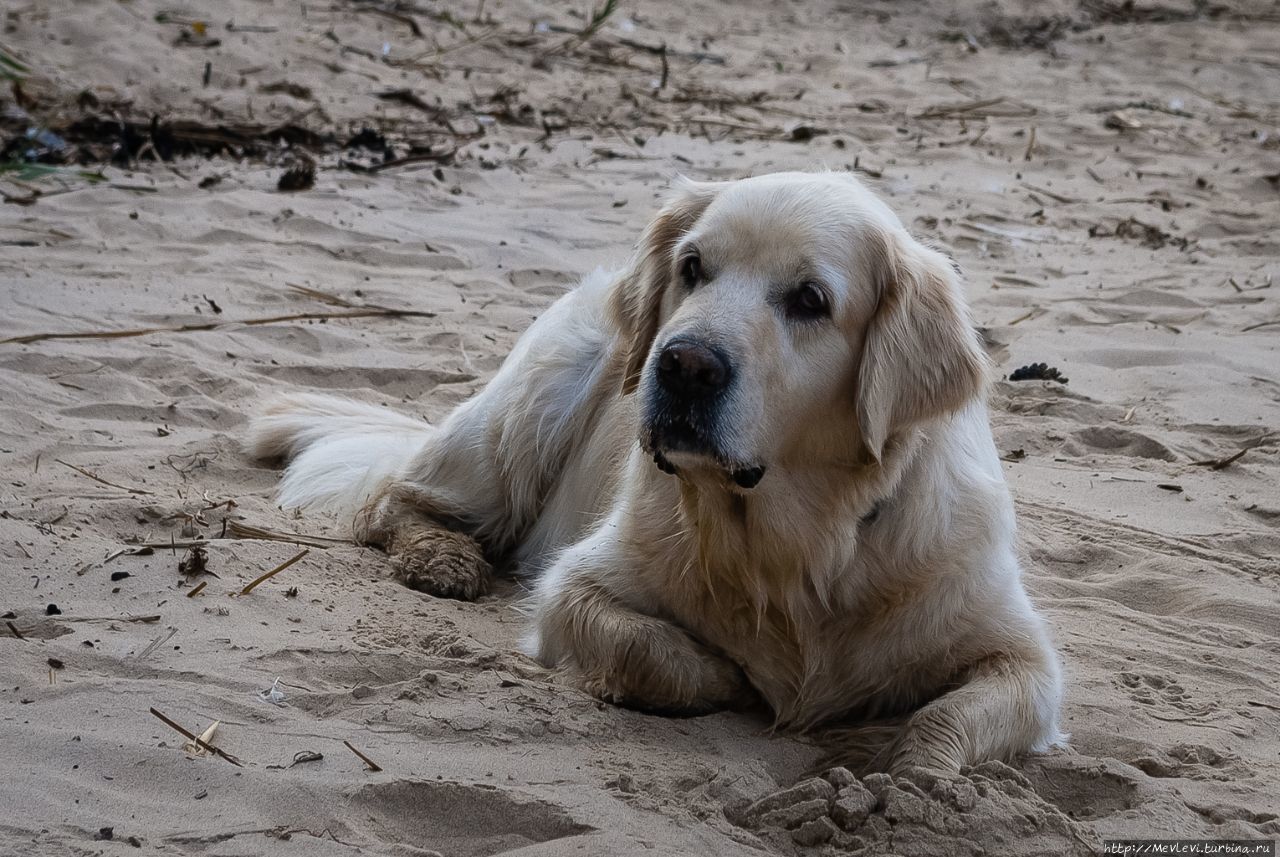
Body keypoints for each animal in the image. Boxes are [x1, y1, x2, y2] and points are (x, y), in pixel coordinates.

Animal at [247, 171, 1059, 777]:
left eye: (810, 300)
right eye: (693, 268)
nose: (684, 365)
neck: (799, 547)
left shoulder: (1024, 657)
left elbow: (949, 718)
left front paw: (889, 759)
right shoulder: (576, 583)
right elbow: (659, 651)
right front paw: (739, 678)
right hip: (530, 407)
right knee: (397, 499)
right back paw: (443, 558)